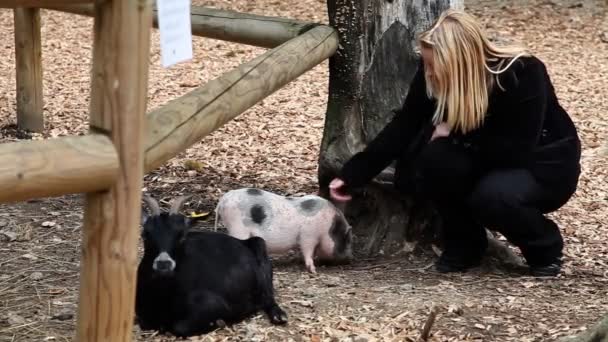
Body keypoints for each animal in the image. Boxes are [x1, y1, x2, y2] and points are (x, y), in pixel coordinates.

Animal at [135, 194, 288, 338]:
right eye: (145, 234)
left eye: (182, 235)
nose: (163, 264)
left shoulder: (215, 306)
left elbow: (180, 327)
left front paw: (221, 322)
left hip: (260, 247)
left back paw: (278, 315)